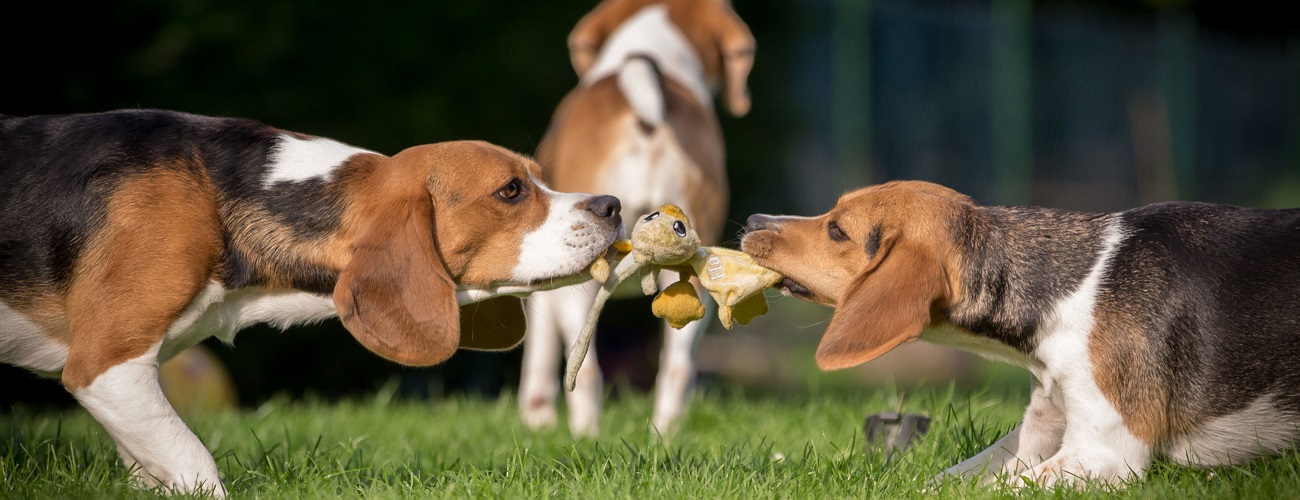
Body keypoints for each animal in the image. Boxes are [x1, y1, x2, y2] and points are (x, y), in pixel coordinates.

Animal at [0, 107, 624, 493]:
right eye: (510, 191)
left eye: (540, 177)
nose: (613, 205)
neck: (215, 191)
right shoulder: (107, 368)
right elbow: (195, 459)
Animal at [517, 0, 759, 436]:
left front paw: (537, 419)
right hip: (697, 273)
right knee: (677, 368)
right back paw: (664, 436)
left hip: (580, 283)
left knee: (586, 371)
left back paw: (585, 435)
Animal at [743, 180, 1300, 488]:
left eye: (837, 230)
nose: (751, 218)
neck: (1073, 289)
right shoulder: (1038, 429)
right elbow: (944, 483)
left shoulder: (1101, 455)